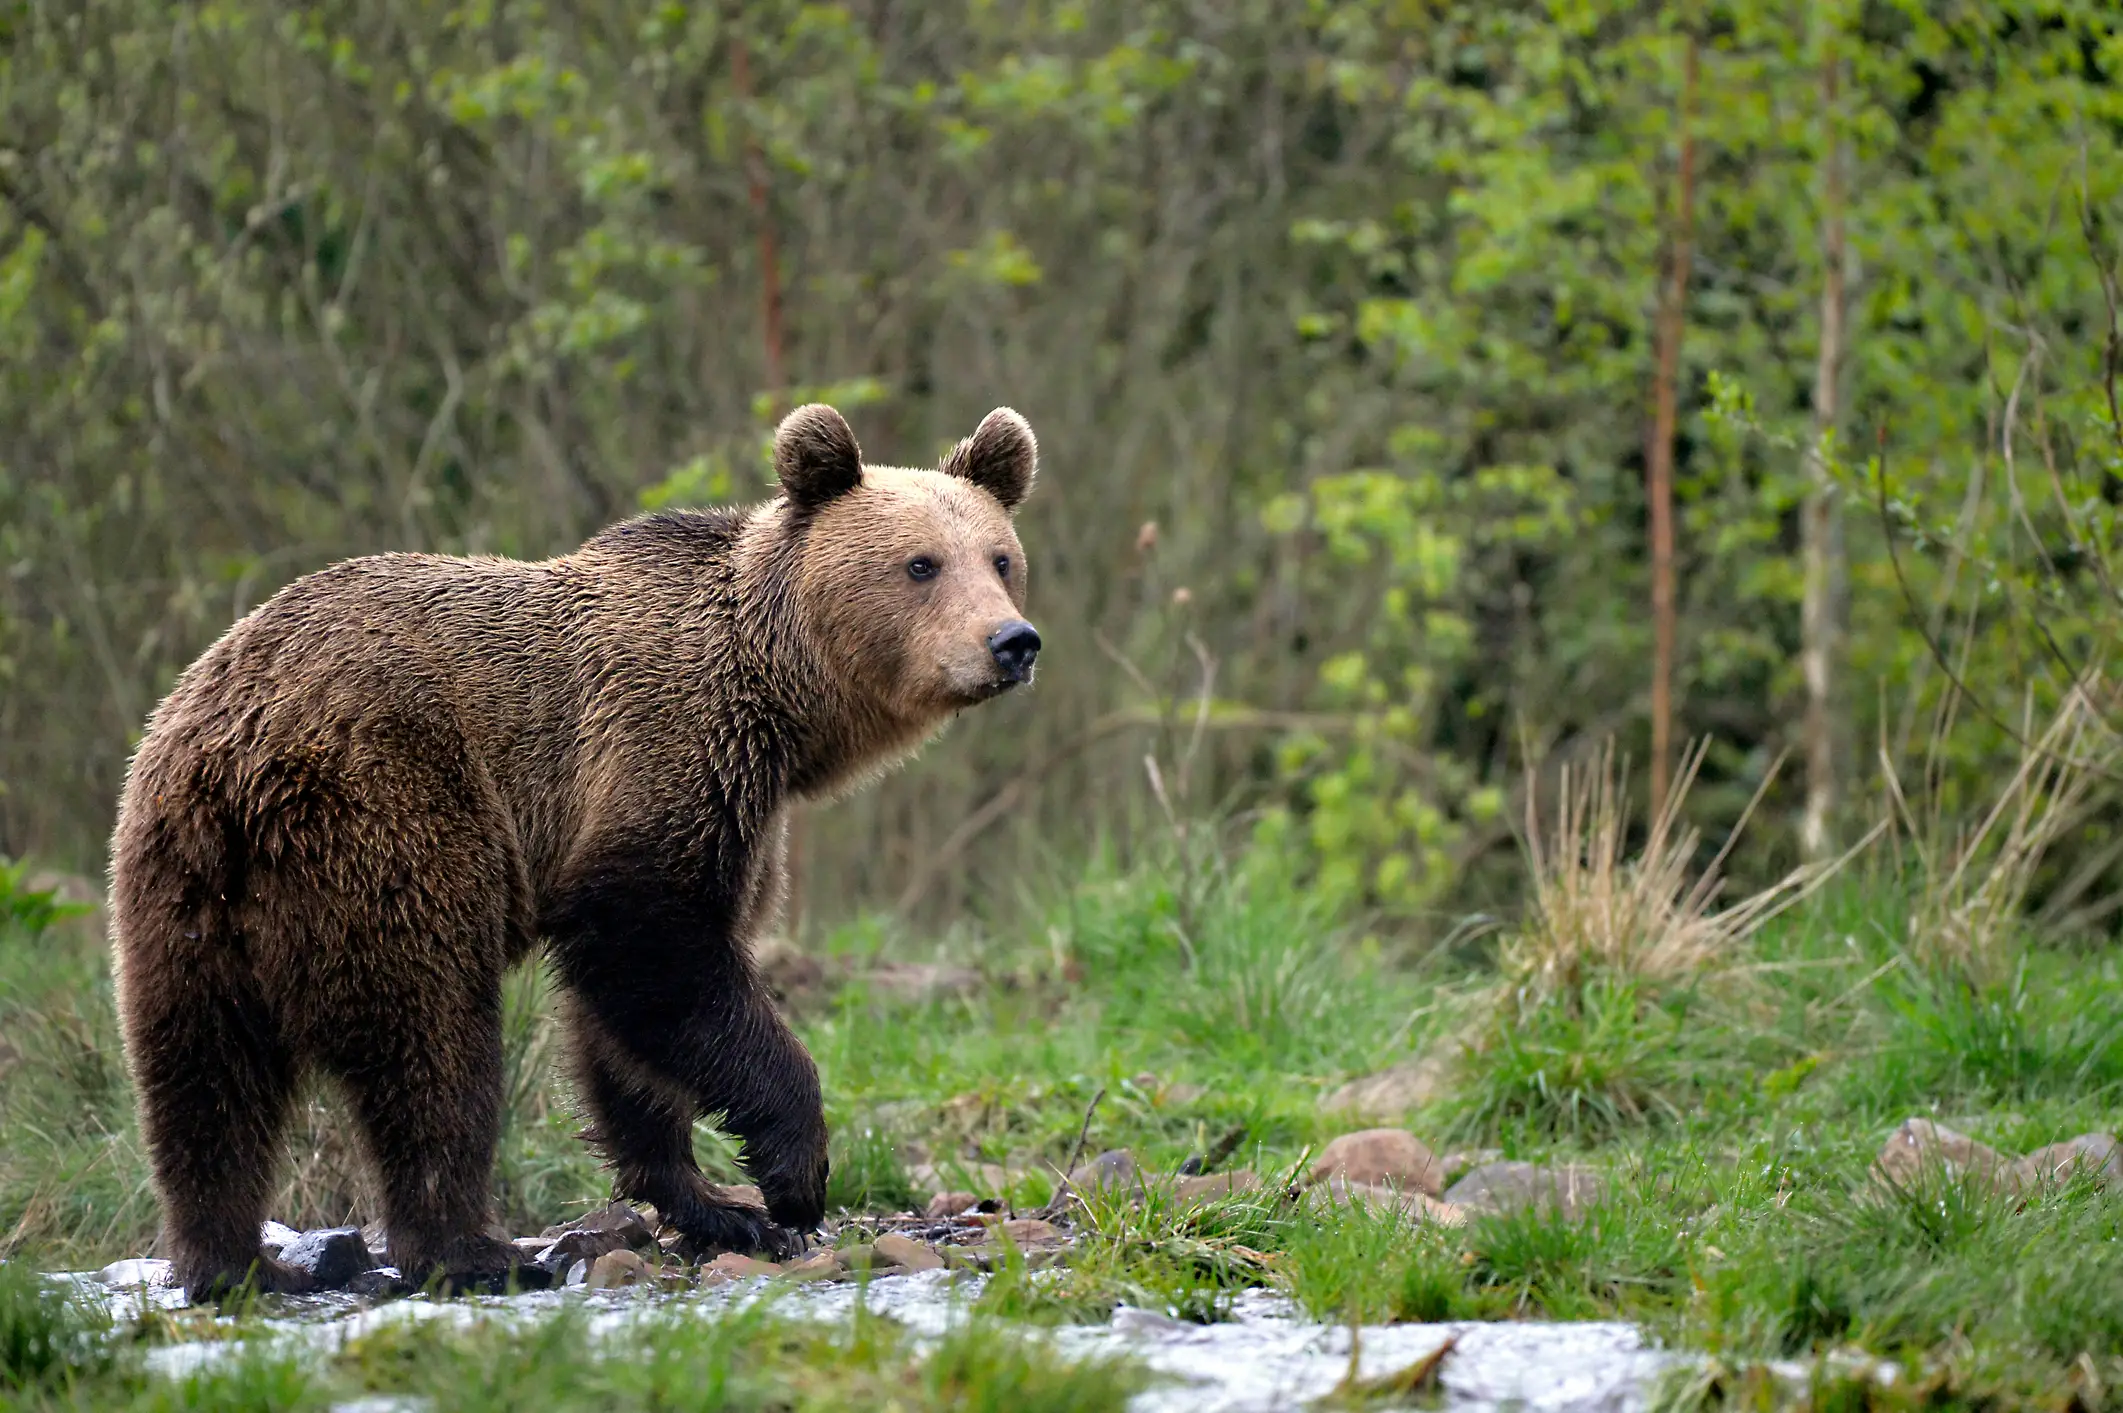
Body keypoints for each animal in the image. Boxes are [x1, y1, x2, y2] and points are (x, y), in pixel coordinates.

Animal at [107, 403, 1042, 1300]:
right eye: (920, 564)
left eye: (1000, 558)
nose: (1012, 641)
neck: (777, 702)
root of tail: (235, 755)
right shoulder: (663, 758)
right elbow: (657, 952)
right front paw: (791, 1177)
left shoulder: (738, 811)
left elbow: (627, 1026)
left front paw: (714, 1203)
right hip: (390, 819)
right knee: (433, 1043)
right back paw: (471, 1249)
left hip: (181, 892)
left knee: (203, 1082)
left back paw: (233, 1262)